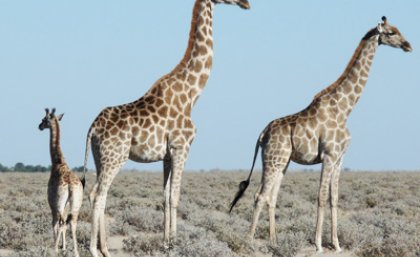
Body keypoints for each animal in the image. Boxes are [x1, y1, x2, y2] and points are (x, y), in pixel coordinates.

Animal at [39, 107, 85, 255]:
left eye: (44, 119)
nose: (39, 126)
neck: (58, 162)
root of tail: (70, 186)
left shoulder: (52, 203)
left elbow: (54, 224)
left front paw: (58, 247)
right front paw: (64, 247)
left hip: (59, 204)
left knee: (60, 223)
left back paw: (54, 249)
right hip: (76, 204)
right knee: (72, 223)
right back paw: (76, 252)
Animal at [83, 1, 251, 255]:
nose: (247, 4)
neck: (191, 95)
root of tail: (92, 129)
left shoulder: (167, 155)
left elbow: (164, 196)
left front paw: (165, 242)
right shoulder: (182, 147)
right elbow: (175, 195)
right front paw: (174, 243)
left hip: (98, 157)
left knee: (101, 194)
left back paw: (105, 249)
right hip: (115, 156)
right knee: (97, 194)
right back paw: (95, 250)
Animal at [228, 17, 412, 253]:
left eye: (398, 30)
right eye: (390, 33)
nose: (408, 46)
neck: (344, 109)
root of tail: (262, 134)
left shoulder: (340, 158)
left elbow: (334, 198)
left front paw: (337, 244)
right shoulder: (328, 156)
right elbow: (321, 197)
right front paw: (318, 244)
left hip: (282, 162)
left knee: (271, 196)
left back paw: (274, 241)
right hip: (273, 160)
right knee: (260, 195)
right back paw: (250, 242)